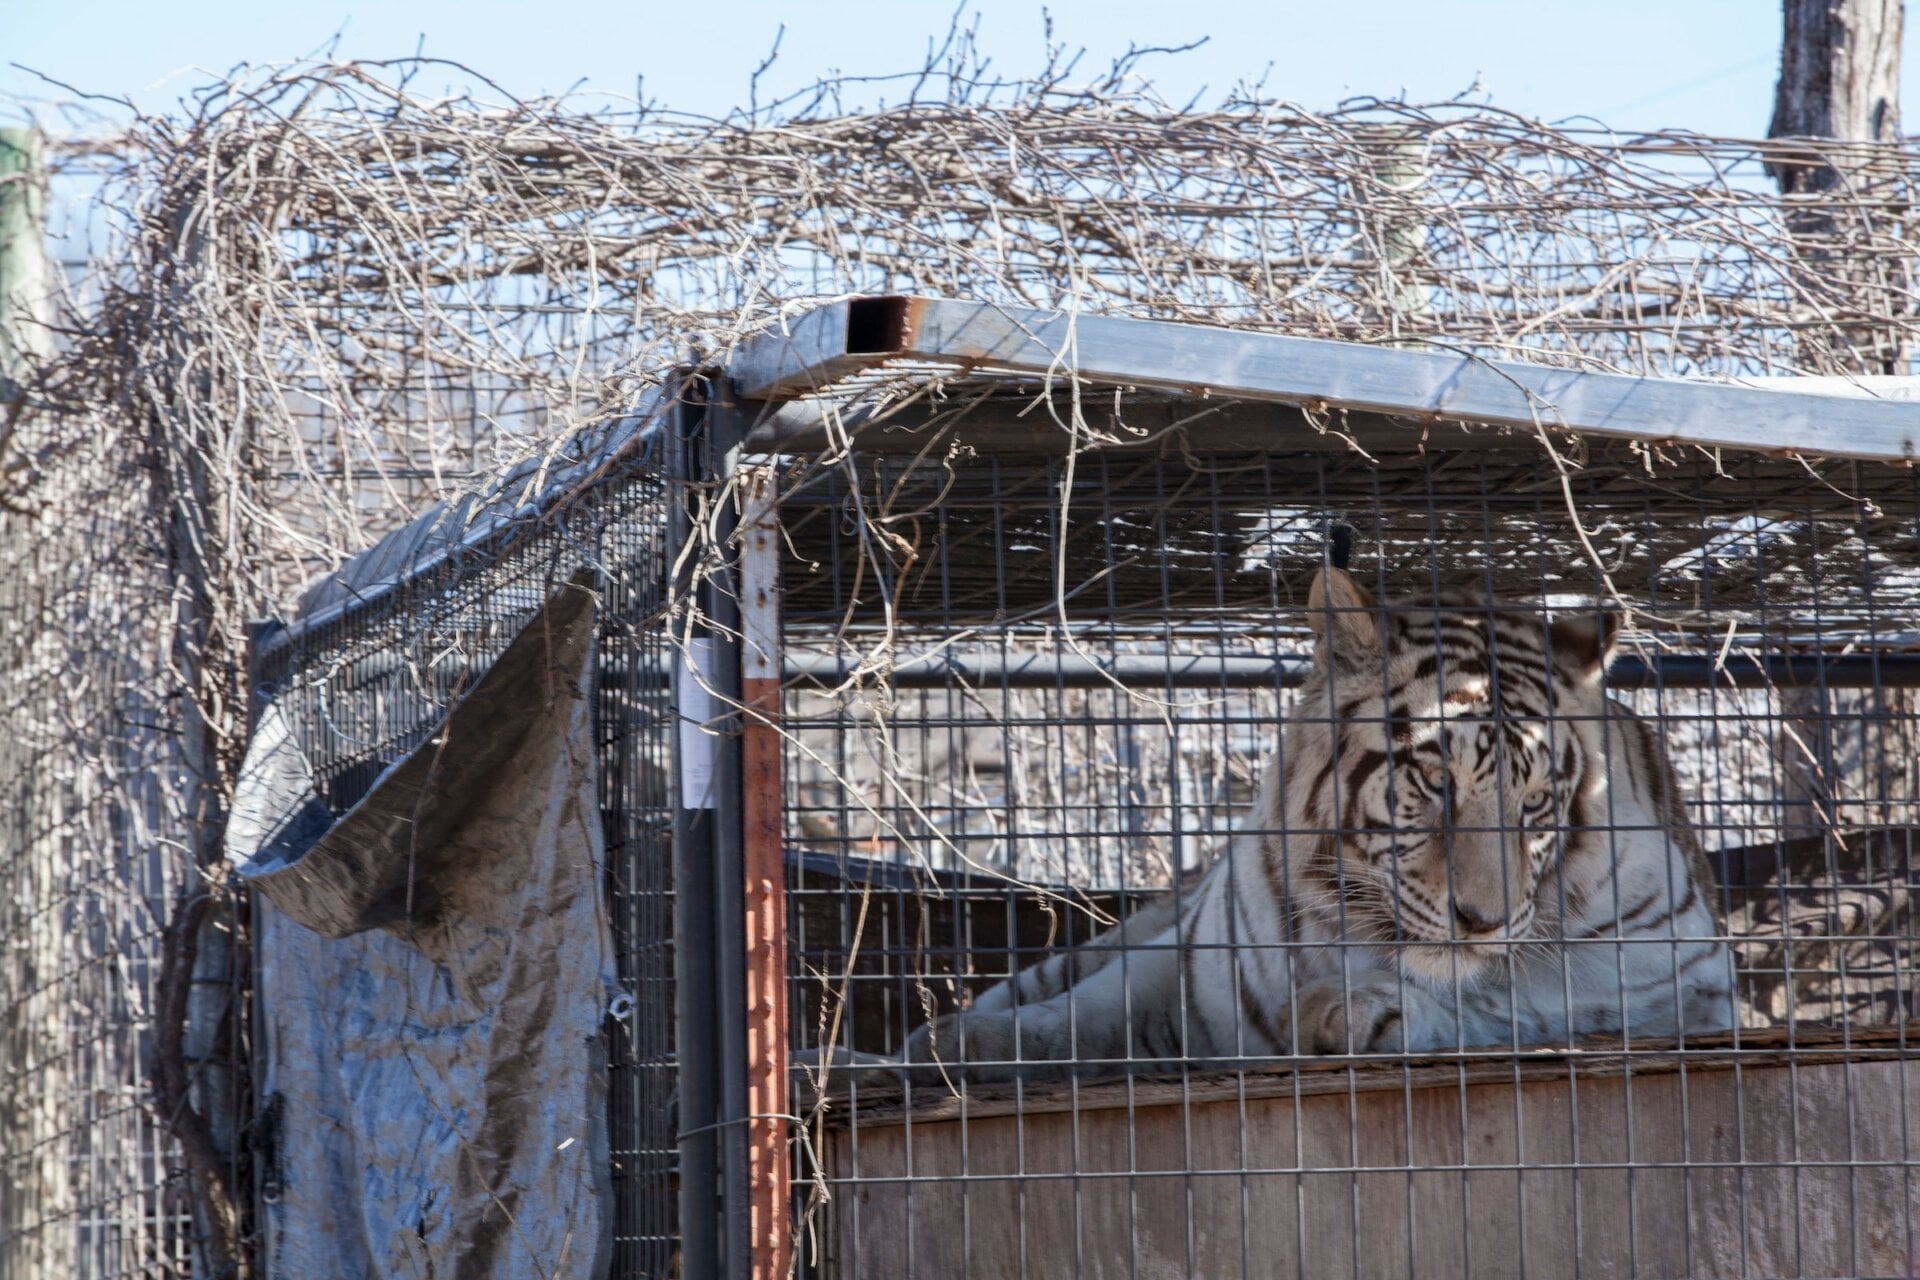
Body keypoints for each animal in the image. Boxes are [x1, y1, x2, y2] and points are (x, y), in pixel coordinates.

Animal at [806, 567, 1737, 1085]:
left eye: (1537, 803)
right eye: (1435, 780)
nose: (1485, 918)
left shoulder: (1680, 980)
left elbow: (1528, 1008)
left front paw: (1353, 1012)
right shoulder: (1190, 961)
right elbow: (1071, 1020)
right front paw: (953, 1044)